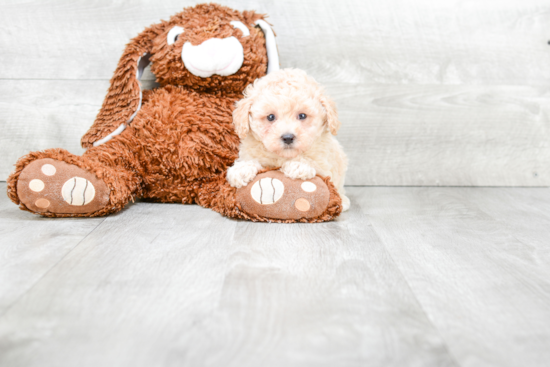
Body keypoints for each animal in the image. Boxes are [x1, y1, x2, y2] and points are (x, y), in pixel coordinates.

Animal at [226, 69, 352, 213]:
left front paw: (298, 165)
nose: (287, 137)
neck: (283, 156)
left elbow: (312, 163)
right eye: (270, 117)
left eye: (302, 115)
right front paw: (242, 169)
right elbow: (251, 160)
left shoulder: (325, 165)